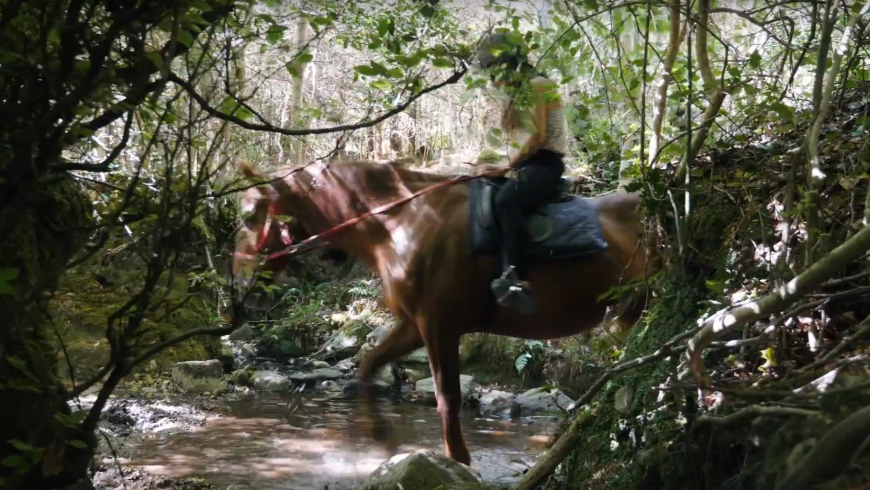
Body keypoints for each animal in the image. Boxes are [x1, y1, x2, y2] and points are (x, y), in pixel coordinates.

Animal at [235, 159, 656, 466]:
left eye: (249, 215)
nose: (239, 281)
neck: (399, 224)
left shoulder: (439, 325)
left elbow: (447, 398)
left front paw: (459, 460)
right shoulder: (413, 325)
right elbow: (368, 366)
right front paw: (379, 433)